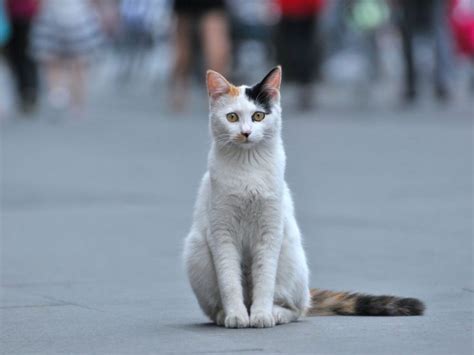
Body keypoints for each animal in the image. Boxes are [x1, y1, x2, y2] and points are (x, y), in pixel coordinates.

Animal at [182, 66, 426, 328]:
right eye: (232, 118)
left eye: (258, 116)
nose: (246, 133)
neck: (249, 168)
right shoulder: (222, 233)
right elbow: (229, 280)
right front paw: (236, 316)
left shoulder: (270, 231)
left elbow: (265, 281)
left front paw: (261, 316)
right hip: (197, 252)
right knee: (215, 305)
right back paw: (224, 315)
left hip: (291, 258)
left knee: (298, 308)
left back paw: (275, 313)